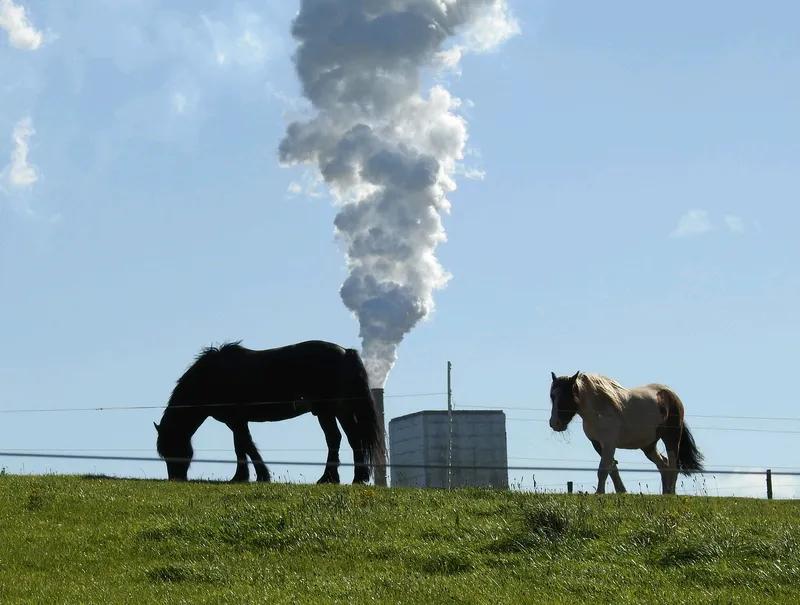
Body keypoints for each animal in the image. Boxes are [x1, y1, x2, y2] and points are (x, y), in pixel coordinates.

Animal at [155, 342, 384, 484]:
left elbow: (246, 445)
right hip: (333, 412)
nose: (175, 478)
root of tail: (346, 352)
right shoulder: (236, 421)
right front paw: (241, 477)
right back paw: (343, 478)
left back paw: (341, 478)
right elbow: (240, 447)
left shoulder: (236, 420)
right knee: (345, 439)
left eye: (172, 448)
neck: (210, 378)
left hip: (332, 410)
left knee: (342, 439)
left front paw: (261, 475)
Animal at [548, 370, 704, 494]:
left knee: (673, 466)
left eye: (566, 396)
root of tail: (671, 395)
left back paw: (671, 493)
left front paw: (600, 493)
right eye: (552, 396)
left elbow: (603, 470)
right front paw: (621, 491)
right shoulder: (598, 444)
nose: (554, 423)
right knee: (663, 465)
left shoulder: (609, 444)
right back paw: (665, 493)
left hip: (671, 438)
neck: (600, 410)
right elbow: (612, 469)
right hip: (649, 445)